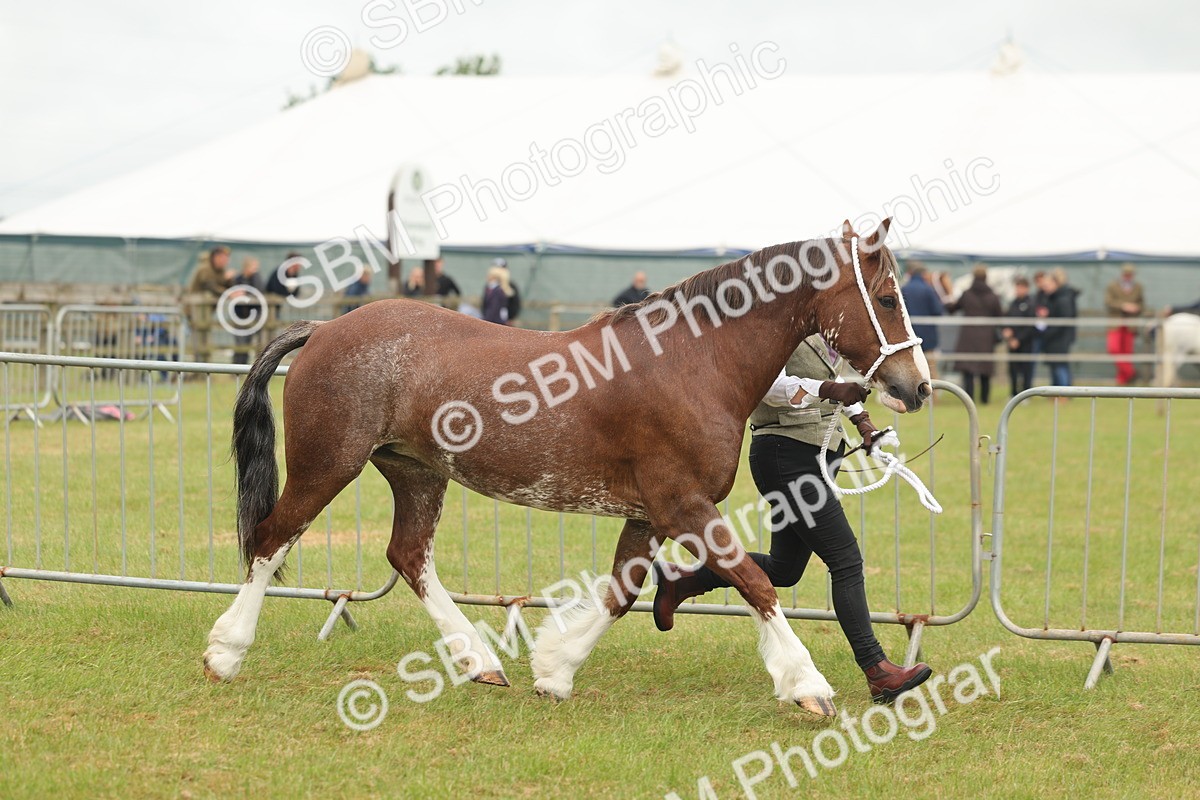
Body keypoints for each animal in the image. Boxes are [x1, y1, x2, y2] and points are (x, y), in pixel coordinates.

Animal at [202, 217, 932, 717]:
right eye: (887, 298)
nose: (918, 386)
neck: (693, 360)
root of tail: (324, 330)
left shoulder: (651, 512)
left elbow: (623, 592)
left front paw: (554, 668)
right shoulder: (685, 505)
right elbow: (754, 582)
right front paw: (808, 686)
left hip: (416, 473)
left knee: (408, 556)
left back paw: (479, 661)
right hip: (328, 466)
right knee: (271, 539)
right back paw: (225, 651)